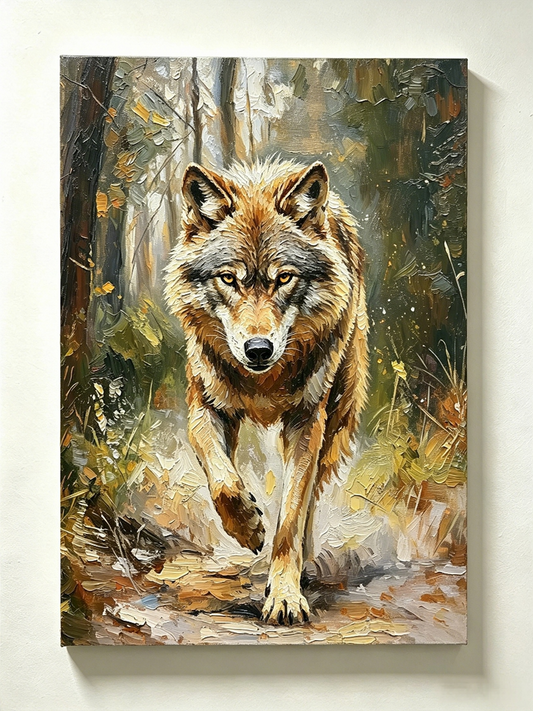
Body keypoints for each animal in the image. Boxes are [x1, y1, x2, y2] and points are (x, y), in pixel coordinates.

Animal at [164, 158, 369, 624]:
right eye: (229, 278)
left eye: (284, 278)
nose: (259, 349)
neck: (263, 383)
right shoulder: (206, 407)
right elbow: (223, 482)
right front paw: (248, 526)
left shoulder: (308, 421)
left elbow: (291, 514)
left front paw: (286, 595)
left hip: (337, 414)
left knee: (310, 497)